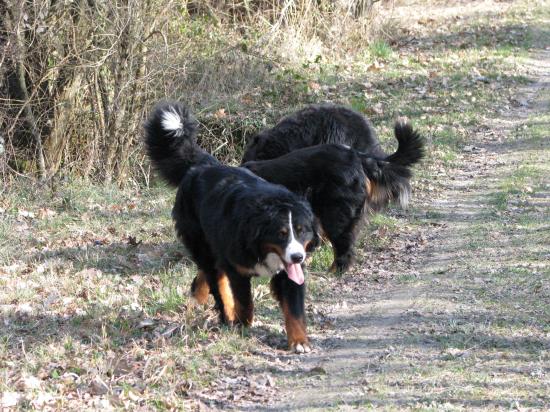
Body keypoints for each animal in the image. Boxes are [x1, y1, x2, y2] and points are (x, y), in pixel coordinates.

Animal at [144, 101, 322, 352]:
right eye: (281, 233)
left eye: (302, 230)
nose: (297, 256)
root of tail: (204, 165)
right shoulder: (237, 268)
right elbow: (244, 303)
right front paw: (241, 325)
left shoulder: (290, 273)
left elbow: (294, 309)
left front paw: (299, 341)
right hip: (202, 242)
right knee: (215, 277)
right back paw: (224, 313)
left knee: (207, 274)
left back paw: (197, 299)